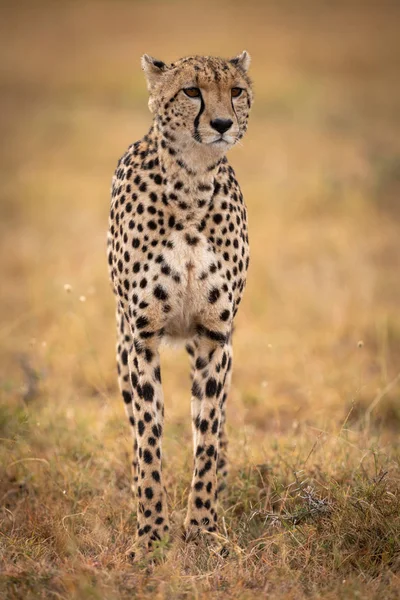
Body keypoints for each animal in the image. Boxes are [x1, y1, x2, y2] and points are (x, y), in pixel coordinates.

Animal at [107, 50, 253, 552]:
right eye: (191, 90)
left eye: (236, 90)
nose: (223, 123)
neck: (192, 184)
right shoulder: (141, 339)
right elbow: (148, 437)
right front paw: (151, 535)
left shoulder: (214, 337)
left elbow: (206, 434)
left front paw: (204, 529)